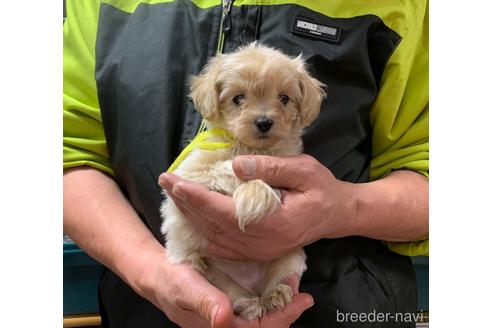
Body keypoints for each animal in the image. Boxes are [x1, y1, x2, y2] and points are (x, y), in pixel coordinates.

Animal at [160, 42, 324, 320]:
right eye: (238, 98)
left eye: (284, 98)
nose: (264, 121)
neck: (251, 147)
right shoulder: (191, 171)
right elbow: (229, 167)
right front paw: (256, 195)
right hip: (217, 277)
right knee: (235, 297)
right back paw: (248, 303)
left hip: (287, 259)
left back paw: (273, 295)